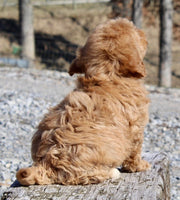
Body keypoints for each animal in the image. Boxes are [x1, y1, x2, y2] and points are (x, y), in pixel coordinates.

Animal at [16, 17, 150, 186]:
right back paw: (111, 172)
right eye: (137, 33)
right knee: (83, 176)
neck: (107, 75)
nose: (144, 34)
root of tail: (45, 164)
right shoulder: (136, 128)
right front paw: (140, 166)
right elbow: (135, 152)